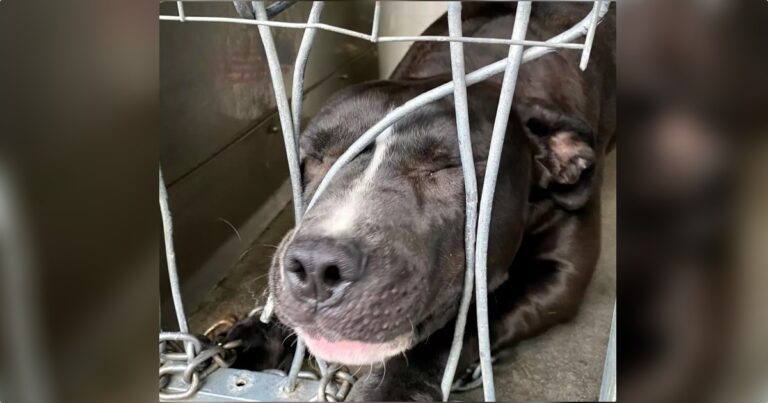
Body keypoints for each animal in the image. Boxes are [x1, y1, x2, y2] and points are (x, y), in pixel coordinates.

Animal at [225, 2, 616, 400]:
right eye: (315, 157)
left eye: (448, 166)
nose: (316, 266)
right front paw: (259, 331)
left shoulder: (563, 274)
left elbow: (468, 318)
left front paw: (396, 386)